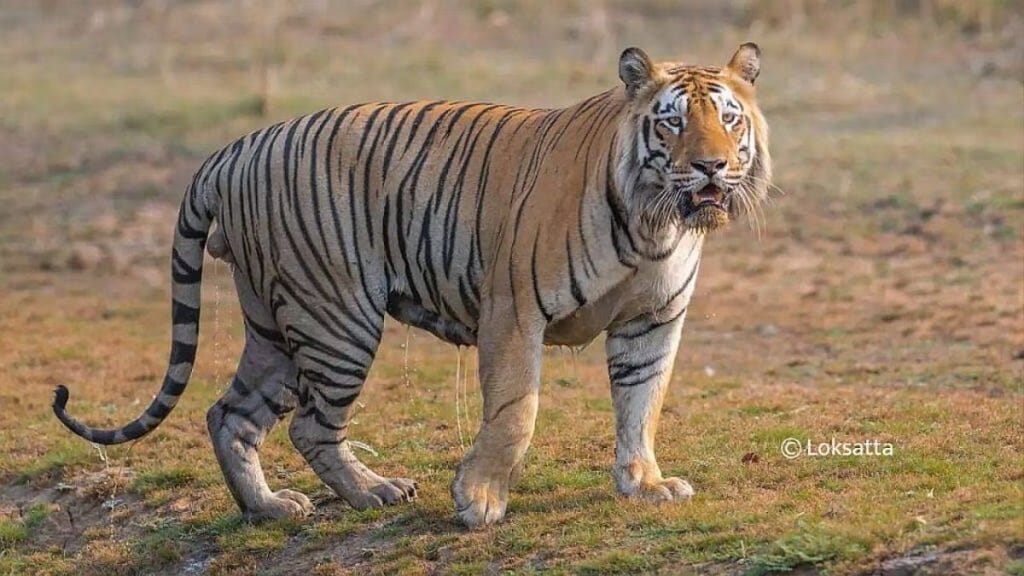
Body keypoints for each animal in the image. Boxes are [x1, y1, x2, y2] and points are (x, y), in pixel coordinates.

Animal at [49, 43, 770, 528]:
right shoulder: (514, 311)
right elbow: (516, 410)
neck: (657, 222)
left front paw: (644, 484)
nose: (712, 167)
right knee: (309, 425)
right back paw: (372, 492)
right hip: (335, 318)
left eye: (729, 120)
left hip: (276, 325)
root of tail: (234, 149)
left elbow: (642, 405)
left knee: (231, 414)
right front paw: (480, 501)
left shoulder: (652, 322)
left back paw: (270, 509)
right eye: (672, 122)